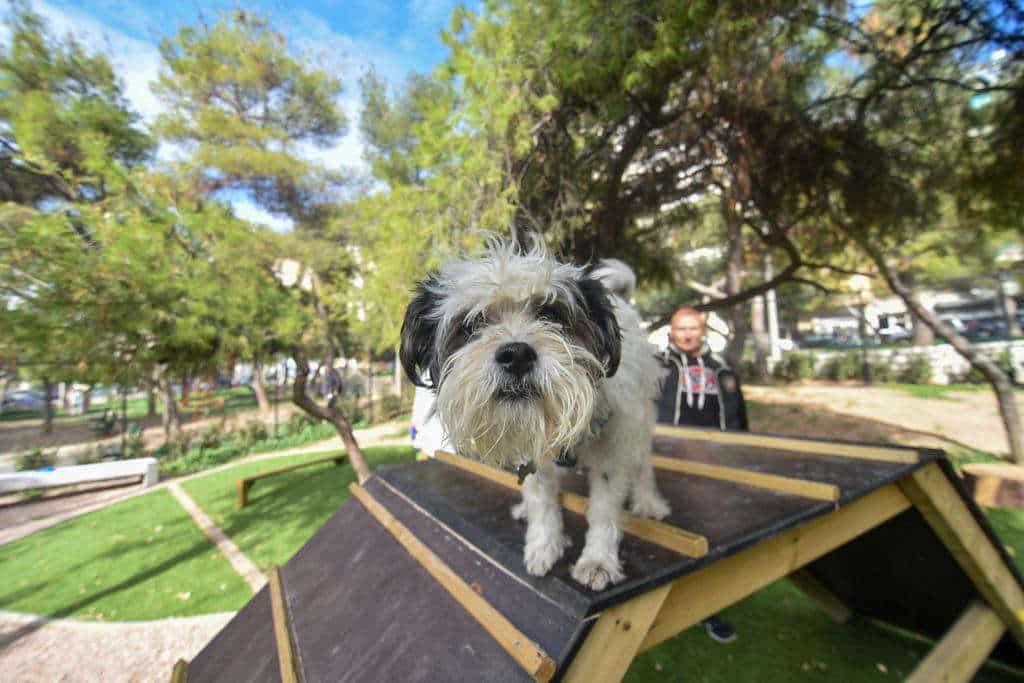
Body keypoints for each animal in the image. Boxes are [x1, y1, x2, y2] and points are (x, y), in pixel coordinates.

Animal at [399, 241, 671, 593]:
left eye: (551, 314)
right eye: (472, 325)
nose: (516, 354)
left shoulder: (613, 448)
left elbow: (604, 508)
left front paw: (598, 560)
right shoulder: (530, 454)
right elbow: (542, 500)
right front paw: (544, 546)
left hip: (640, 419)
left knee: (643, 462)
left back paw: (649, 501)